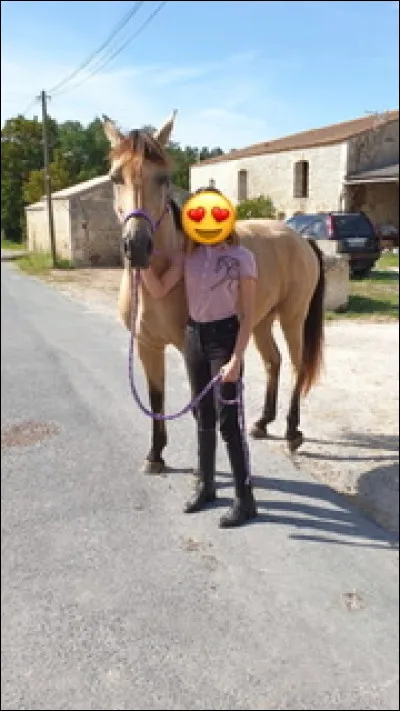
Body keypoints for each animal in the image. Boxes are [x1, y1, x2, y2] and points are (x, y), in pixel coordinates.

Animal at [102, 112, 325, 474]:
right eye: (114, 177)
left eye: (163, 178)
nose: (136, 247)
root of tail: (300, 237)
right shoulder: (148, 345)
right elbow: (156, 398)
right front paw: (155, 455)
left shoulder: (189, 347)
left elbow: (198, 408)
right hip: (260, 320)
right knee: (273, 361)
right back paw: (262, 423)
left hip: (293, 317)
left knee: (296, 365)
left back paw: (292, 432)